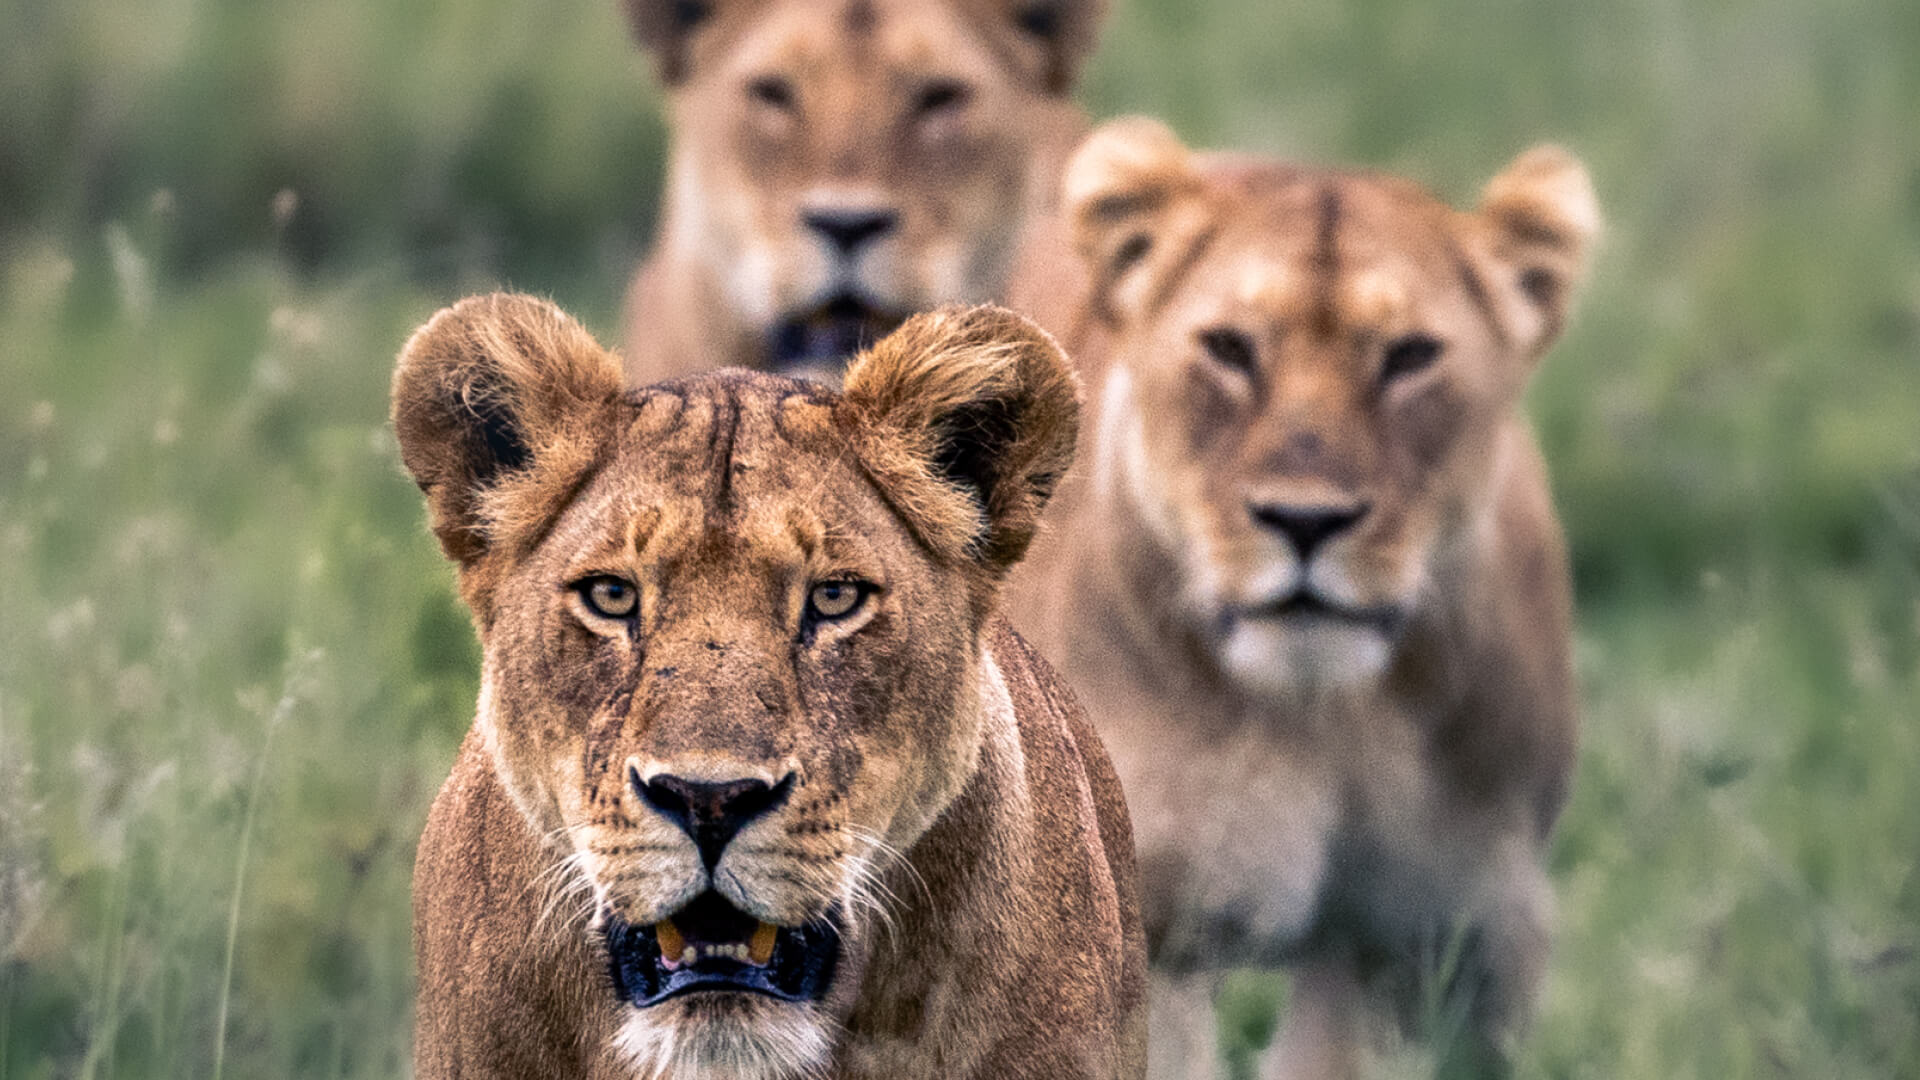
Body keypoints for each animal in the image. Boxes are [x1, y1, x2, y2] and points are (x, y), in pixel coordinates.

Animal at [1006, 118, 1599, 1078]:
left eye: (1409, 356)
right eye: (1230, 348)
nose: (1306, 521)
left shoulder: (1445, 930)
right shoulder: (1157, 926)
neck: (1326, 717)